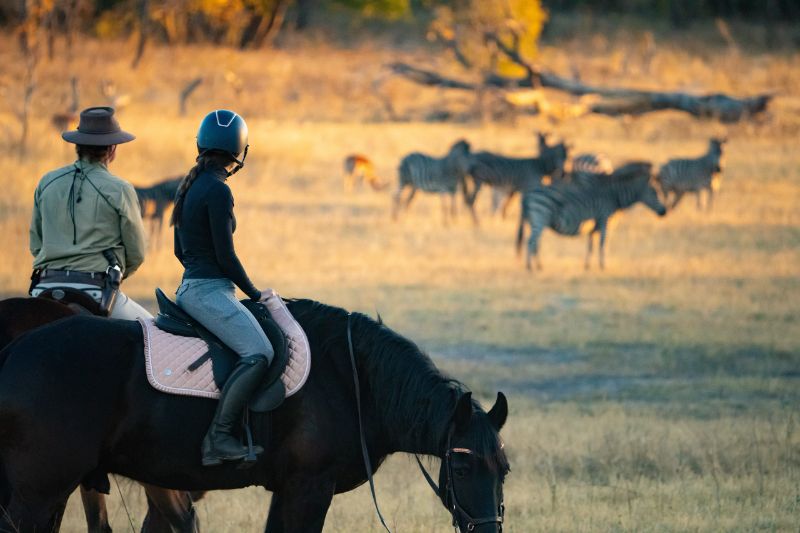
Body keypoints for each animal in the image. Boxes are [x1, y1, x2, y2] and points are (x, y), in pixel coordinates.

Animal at [0, 298, 510, 528]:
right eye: (461, 468)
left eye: (503, 469)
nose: (488, 531)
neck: (350, 377)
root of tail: (15, 350)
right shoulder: (309, 489)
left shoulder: (286, 490)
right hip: (36, 493)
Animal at [516, 161, 664, 270]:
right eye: (655, 191)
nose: (664, 211)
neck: (614, 196)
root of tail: (527, 194)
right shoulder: (605, 220)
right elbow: (603, 243)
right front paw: (603, 266)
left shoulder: (596, 223)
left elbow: (591, 243)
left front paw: (587, 266)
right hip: (540, 216)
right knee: (531, 241)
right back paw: (530, 268)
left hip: (535, 220)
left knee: (535, 243)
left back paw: (539, 266)